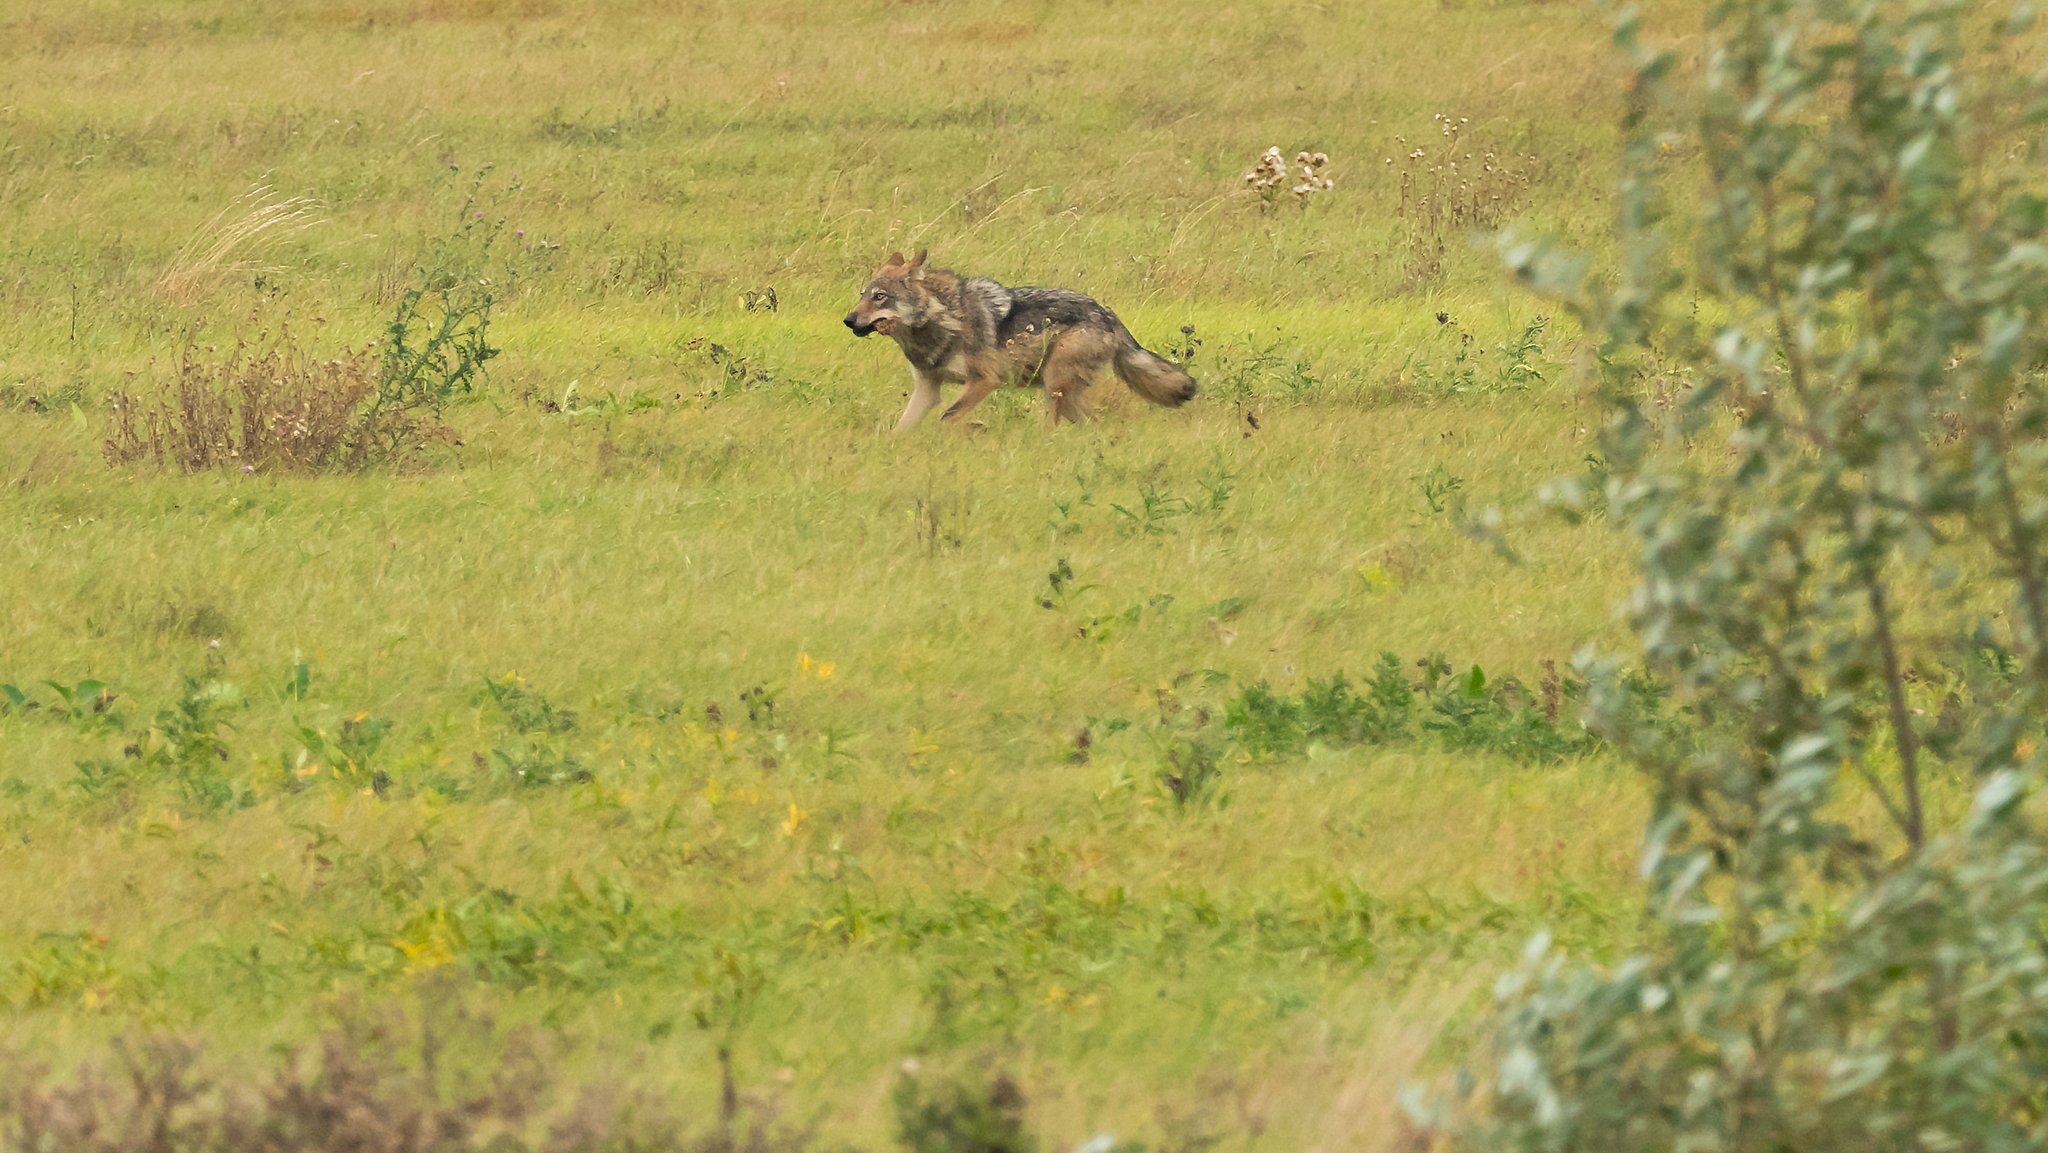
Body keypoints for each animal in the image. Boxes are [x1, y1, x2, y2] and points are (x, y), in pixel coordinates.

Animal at [843, 250, 1196, 430]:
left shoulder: (986, 380)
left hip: (1054, 385)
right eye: (862, 295)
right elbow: (901, 429)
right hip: (1064, 393)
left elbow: (948, 417)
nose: (848, 320)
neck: (941, 321)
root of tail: (1109, 315)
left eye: (880, 297)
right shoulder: (927, 389)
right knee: (1092, 424)